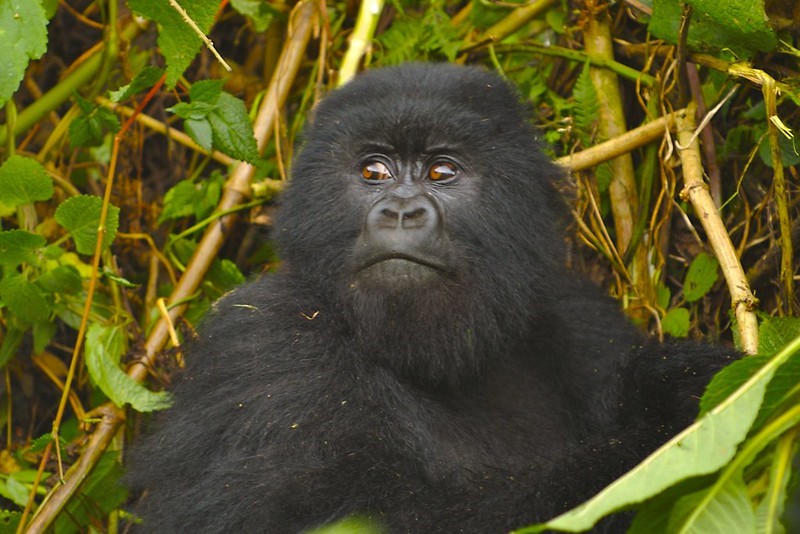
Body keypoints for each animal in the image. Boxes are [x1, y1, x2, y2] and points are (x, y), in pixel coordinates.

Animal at [131, 63, 736, 534]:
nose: (401, 211)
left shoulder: (582, 320)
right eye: (373, 171)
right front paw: (669, 415)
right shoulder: (267, 345)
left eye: (442, 171)